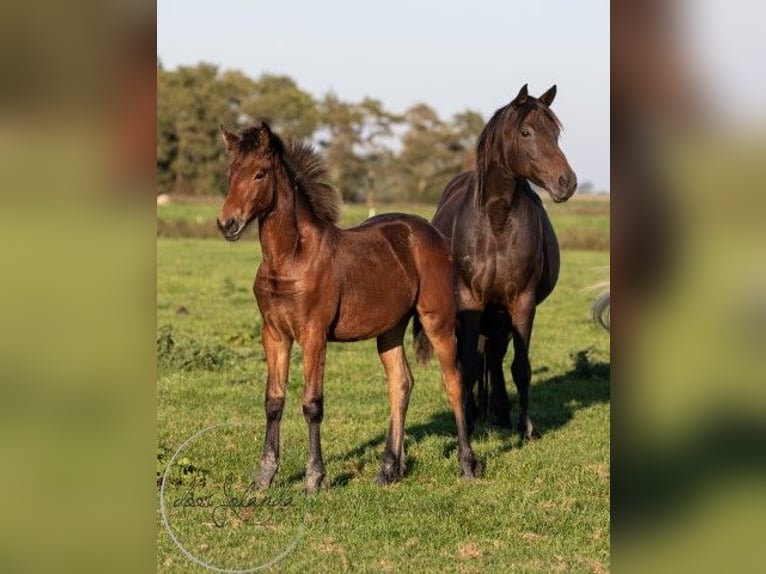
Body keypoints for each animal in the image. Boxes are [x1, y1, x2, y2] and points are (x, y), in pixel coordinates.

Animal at [218, 122, 480, 496]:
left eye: (259, 173)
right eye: (230, 173)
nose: (227, 224)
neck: (289, 257)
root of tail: (433, 234)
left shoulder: (313, 334)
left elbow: (312, 403)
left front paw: (314, 477)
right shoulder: (274, 334)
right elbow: (273, 401)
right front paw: (264, 476)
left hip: (437, 319)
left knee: (454, 381)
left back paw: (467, 465)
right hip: (390, 329)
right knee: (400, 383)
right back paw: (388, 471)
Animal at [424, 83, 580, 438]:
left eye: (556, 133)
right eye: (526, 132)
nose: (567, 182)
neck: (496, 221)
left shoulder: (521, 301)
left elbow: (520, 367)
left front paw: (524, 426)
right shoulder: (469, 299)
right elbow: (468, 364)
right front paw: (468, 420)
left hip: (499, 313)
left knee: (494, 357)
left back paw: (499, 413)